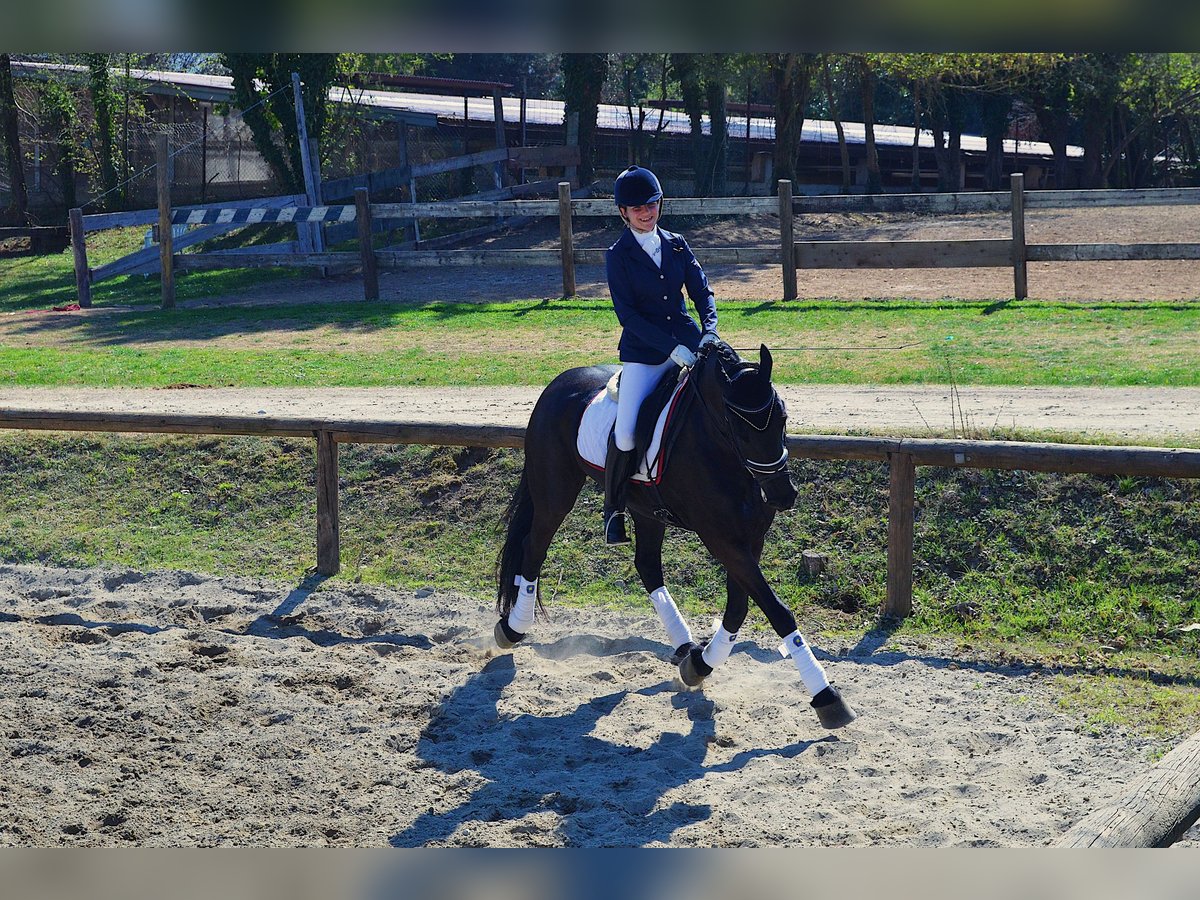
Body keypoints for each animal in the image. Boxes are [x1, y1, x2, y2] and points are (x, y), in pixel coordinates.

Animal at [494, 340, 854, 729]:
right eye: (739, 429)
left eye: (783, 418)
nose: (782, 495)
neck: (718, 448)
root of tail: (558, 383)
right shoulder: (721, 539)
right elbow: (778, 611)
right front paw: (826, 696)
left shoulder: (750, 538)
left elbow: (739, 608)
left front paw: (700, 664)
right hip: (555, 493)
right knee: (534, 546)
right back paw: (513, 628)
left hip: (645, 511)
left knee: (647, 566)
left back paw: (685, 646)